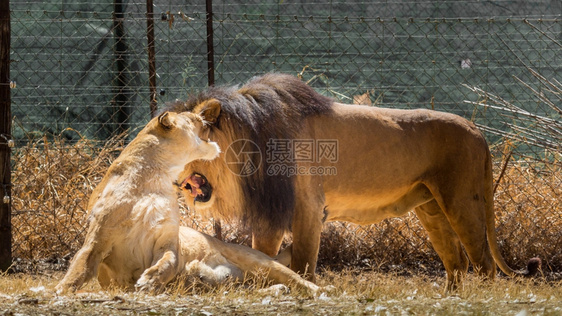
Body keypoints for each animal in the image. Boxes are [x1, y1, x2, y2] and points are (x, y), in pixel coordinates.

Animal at [58, 110, 320, 294]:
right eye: (186, 115)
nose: (200, 115)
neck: (154, 178)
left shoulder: (167, 240)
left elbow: (168, 262)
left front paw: (149, 280)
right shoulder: (97, 239)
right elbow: (80, 265)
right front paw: (62, 290)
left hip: (260, 262)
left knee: (297, 279)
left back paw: (318, 291)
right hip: (237, 284)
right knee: (249, 287)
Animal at [164, 73, 536, 290]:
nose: (170, 178)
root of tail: (479, 132)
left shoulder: (308, 208)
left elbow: (303, 262)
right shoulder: (271, 213)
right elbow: (262, 255)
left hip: (462, 200)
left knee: (483, 262)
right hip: (431, 207)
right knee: (456, 261)